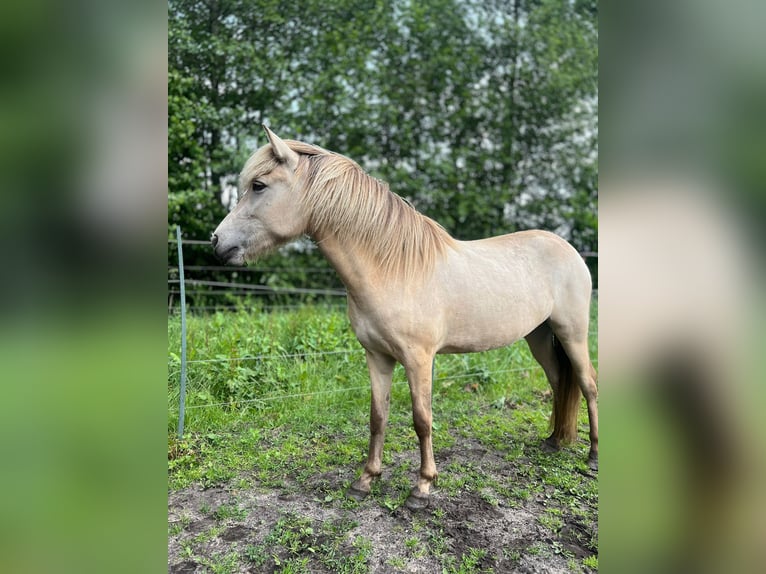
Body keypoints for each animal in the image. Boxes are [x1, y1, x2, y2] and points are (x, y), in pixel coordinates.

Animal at [211, 125, 598, 510]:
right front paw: (366, 480)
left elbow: (422, 419)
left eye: (258, 185)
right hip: (539, 337)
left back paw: (592, 456)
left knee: (587, 384)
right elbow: (377, 417)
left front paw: (422, 487)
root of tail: (568, 249)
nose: (216, 242)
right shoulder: (377, 356)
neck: (393, 269)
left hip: (572, 334)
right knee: (558, 382)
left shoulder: (419, 359)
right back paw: (553, 441)